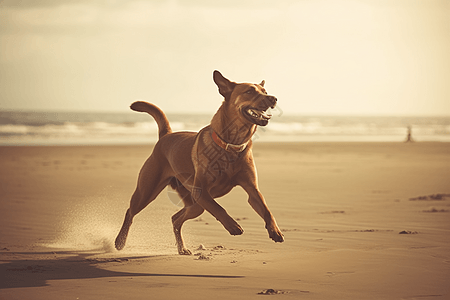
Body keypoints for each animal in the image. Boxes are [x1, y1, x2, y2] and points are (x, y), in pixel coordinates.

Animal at [114, 71, 284, 255]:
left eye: (265, 91)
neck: (231, 145)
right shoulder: (201, 191)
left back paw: (182, 248)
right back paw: (119, 242)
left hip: (194, 205)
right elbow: (219, 208)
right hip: (148, 191)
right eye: (249, 91)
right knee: (130, 212)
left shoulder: (252, 190)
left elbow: (267, 210)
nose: (273, 98)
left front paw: (275, 231)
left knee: (175, 218)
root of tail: (166, 135)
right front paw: (233, 225)